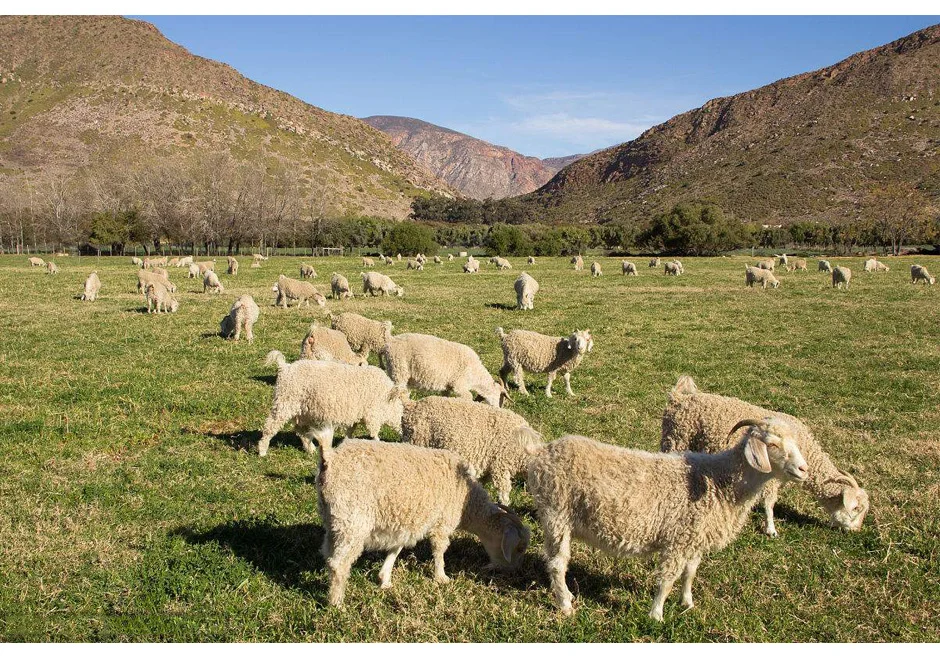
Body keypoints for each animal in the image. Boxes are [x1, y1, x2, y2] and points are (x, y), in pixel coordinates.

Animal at [258, 352, 408, 454]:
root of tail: (285, 367)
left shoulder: (357, 413)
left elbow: (350, 430)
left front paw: (346, 442)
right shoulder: (372, 414)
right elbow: (374, 433)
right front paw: (379, 444)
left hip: (302, 411)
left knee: (301, 431)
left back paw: (311, 449)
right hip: (285, 402)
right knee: (271, 425)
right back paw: (262, 450)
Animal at [312, 434, 524, 608]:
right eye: (518, 549)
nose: (512, 572)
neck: (467, 500)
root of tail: (329, 458)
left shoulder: (405, 522)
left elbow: (395, 548)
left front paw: (385, 580)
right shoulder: (442, 523)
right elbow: (439, 550)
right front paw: (441, 577)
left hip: (336, 519)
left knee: (327, 554)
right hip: (353, 521)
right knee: (339, 564)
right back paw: (337, 604)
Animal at [398, 392, 544, 504]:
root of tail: (411, 405)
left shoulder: (489, 466)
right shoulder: (500, 464)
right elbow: (504, 489)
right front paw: (505, 504)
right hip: (416, 440)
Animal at [528, 422, 808, 616]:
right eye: (772, 444)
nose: (803, 469)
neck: (719, 481)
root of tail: (541, 452)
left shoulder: (695, 539)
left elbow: (690, 573)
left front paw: (688, 603)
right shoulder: (677, 539)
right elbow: (667, 580)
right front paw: (656, 615)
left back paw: (568, 596)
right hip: (557, 515)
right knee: (557, 564)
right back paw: (565, 606)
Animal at [660, 376, 868, 536]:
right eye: (855, 508)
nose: (856, 531)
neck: (807, 450)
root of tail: (678, 397)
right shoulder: (771, 478)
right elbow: (769, 503)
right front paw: (771, 529)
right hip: (675, 439)